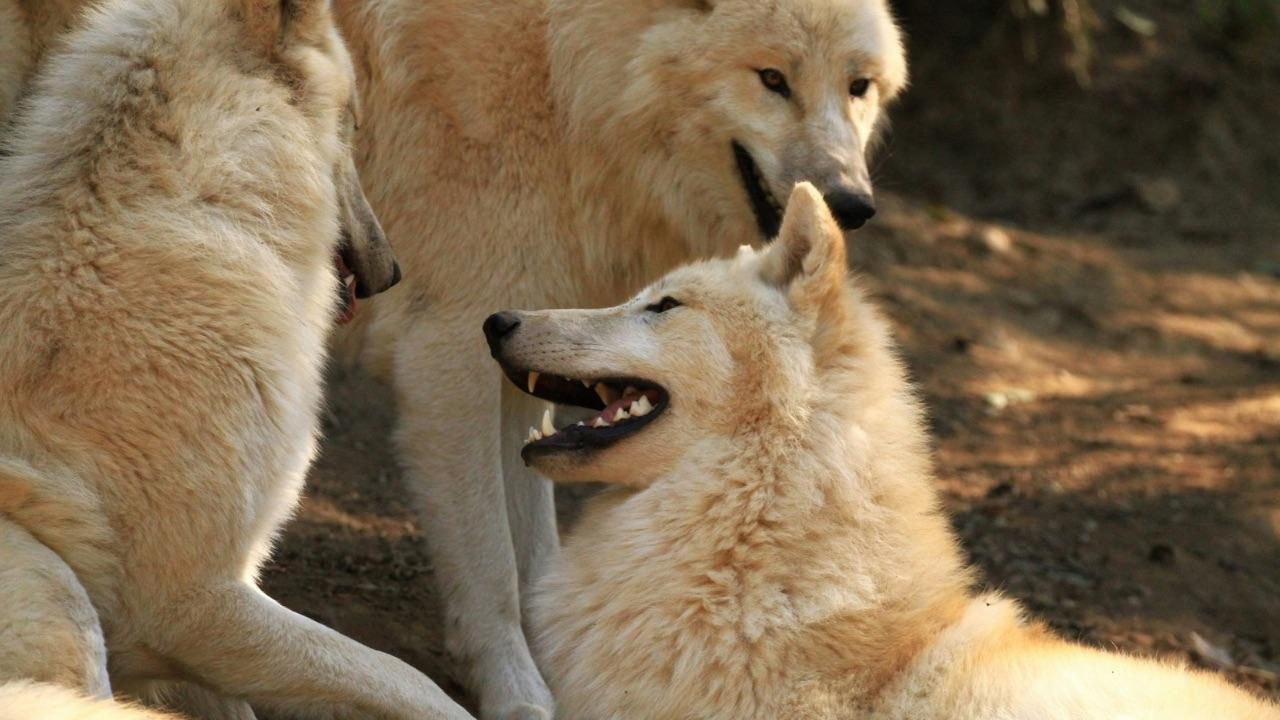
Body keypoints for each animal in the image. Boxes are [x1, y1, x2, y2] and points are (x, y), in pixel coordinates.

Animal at [0, 1, 468, 718]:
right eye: (354, 124)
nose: (391, 271)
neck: (199, 209)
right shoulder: (198, 605)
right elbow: (415, 683)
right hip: (56, 590)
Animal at [332, 1, 907, 715]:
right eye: (772, 78)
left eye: (858, 86)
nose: (850, 204)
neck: (564, 83)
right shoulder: (447, 354)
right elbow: (492, 568)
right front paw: (521, 696)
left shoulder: (513, 356)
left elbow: (536, 553)